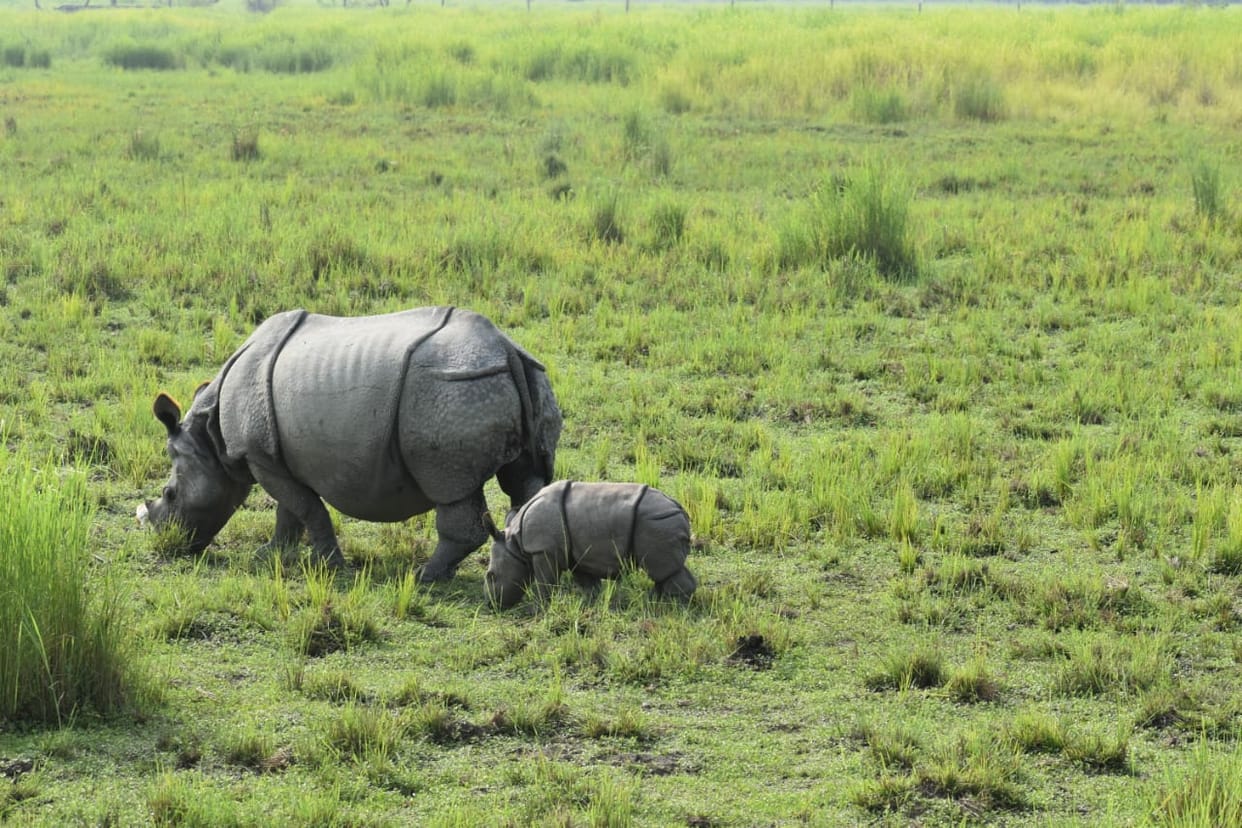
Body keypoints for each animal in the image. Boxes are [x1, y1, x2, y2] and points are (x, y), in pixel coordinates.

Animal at [137, 306, 562, 581]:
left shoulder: (260, 456)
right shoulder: (275, 458)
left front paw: (331, 566)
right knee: (527, 481)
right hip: (525, 379)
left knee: (450, 488)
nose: (169, 544)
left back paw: (425, 577)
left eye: (170, 494)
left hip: (453, 391)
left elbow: (306, 508)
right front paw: (271, 555)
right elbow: (290, 511)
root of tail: (504, 348)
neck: (211, 440)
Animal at [483, 480, 698, 609]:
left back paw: (675, 606)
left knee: (664, 570)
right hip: (659, 521)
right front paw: (589, 602)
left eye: (491, 576)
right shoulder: (576, 553)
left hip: (657, 522)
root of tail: (681, 510)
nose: (492, 605)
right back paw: (657, 600)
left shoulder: (543, 550)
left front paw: (541, 606)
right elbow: (586, 581)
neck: (515, 543)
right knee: (663, 572)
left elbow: (546, 582)